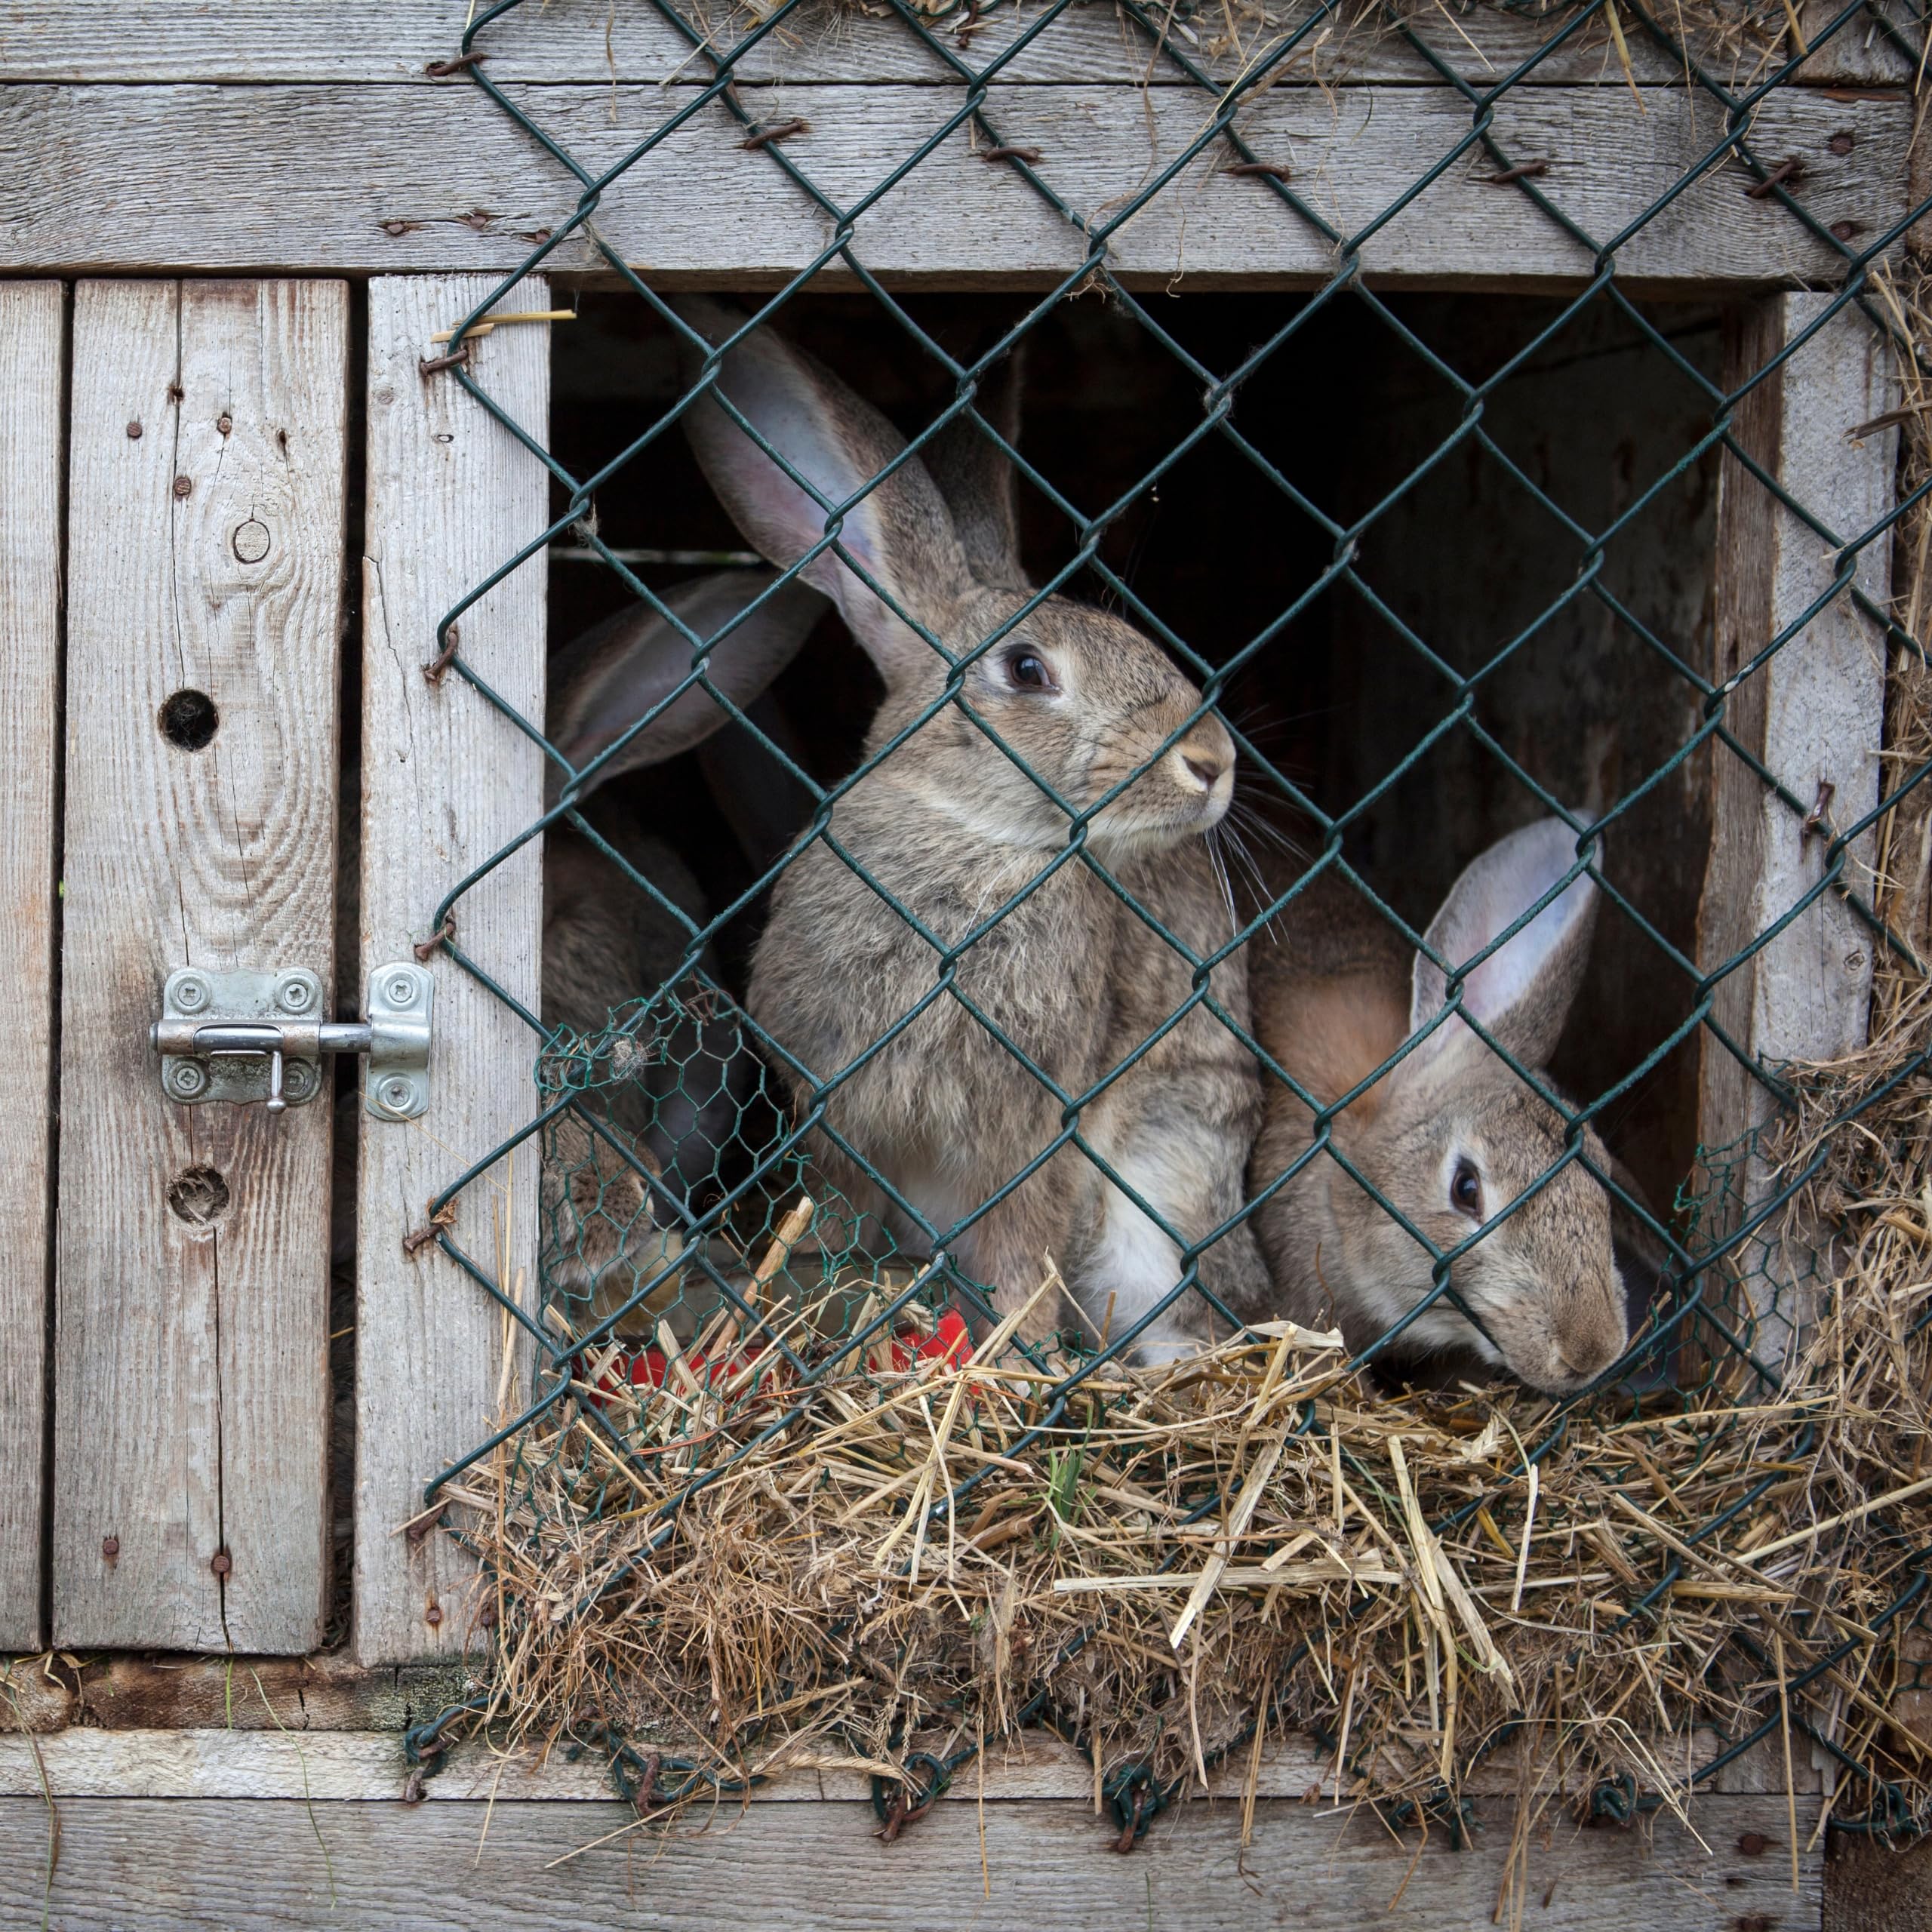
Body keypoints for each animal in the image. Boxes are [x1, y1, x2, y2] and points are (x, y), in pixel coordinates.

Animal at [674, 298, 1273, 1357]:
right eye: (1026, 670)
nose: (1212, 762)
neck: (976, 839)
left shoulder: (1037, 1130)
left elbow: (1023, 1240)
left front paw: (1016, 1348)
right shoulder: (840, 1116)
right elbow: (841, 1210)